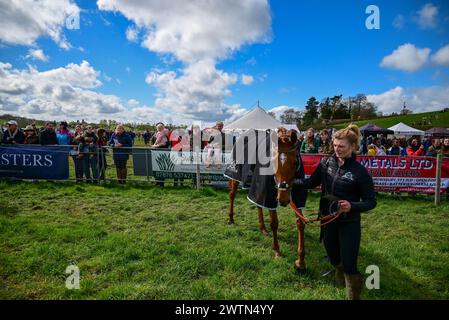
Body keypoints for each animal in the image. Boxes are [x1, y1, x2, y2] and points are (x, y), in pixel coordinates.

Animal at [226, 128, 306, 272]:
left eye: (295, 162)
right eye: (273, 162)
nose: (283, 199)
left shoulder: (298, 196)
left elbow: (300, 223)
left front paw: (301, 261)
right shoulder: (269, 194)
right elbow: (274, 223)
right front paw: (277, 251)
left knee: (258, 203)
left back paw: (262, 228)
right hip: (236, 174)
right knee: (232, 195)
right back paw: (230, 219)